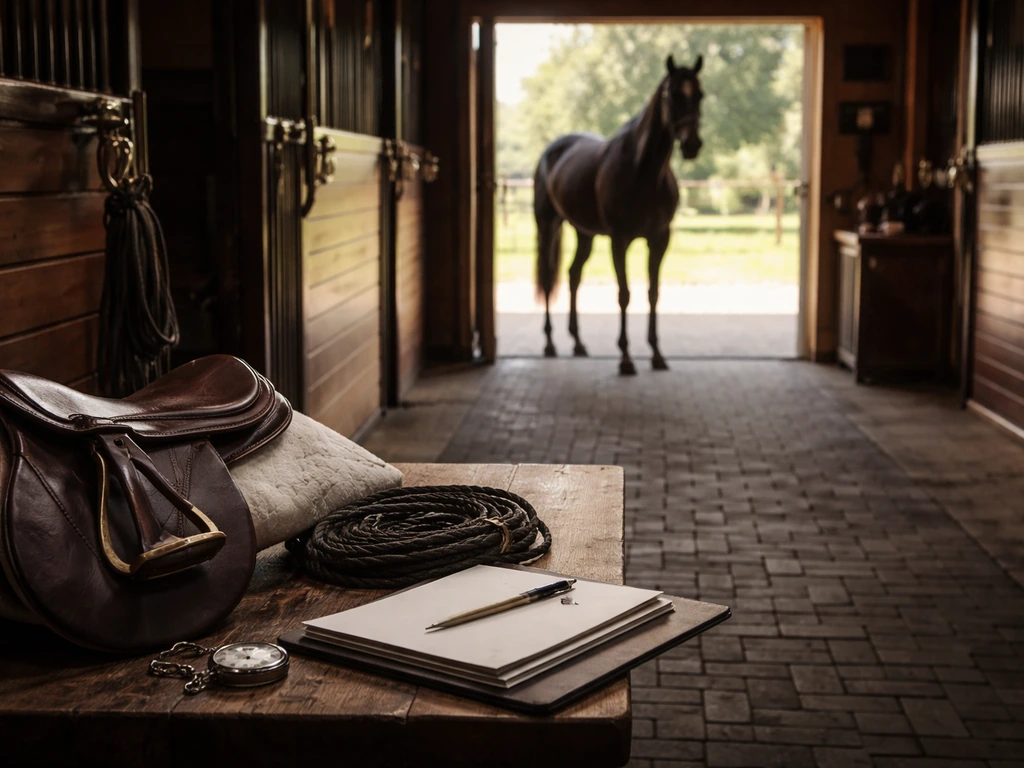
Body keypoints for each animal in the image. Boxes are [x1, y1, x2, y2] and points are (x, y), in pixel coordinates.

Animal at [533, 54, 704, 375]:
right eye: (673, 95)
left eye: (700, 95)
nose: (692, 144)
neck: (643, 172)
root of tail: (552, 151)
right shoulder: (619, 239)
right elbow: (624, 294)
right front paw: (625, 358)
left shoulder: (659, 239)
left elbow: (653, 293)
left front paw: (657, 354)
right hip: (548, 225)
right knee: (550, 279)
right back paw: (549, 344)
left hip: (584, 233)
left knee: (573, 275)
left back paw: (578, 343)